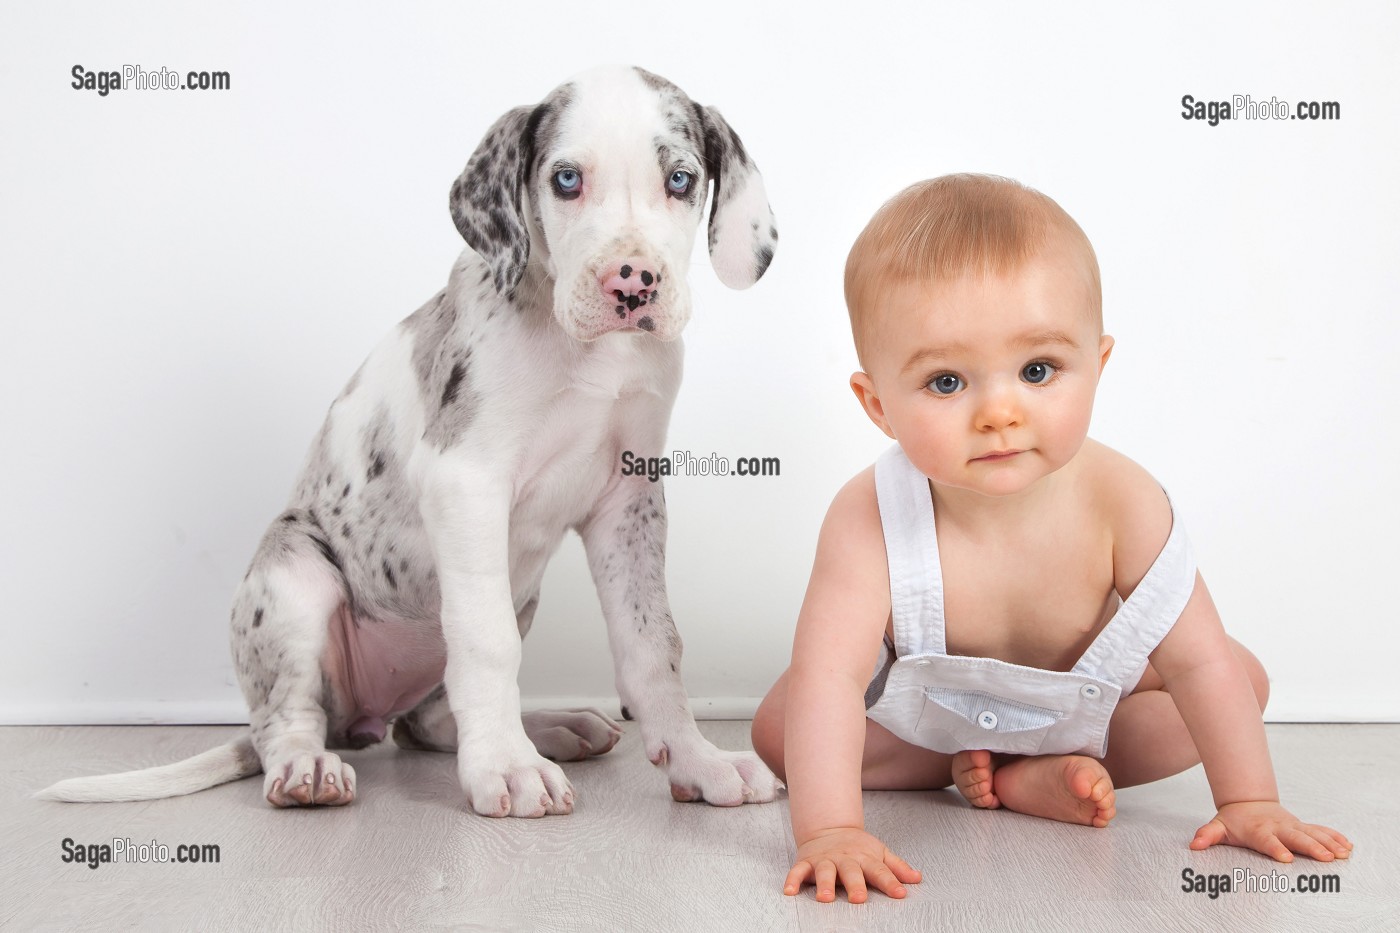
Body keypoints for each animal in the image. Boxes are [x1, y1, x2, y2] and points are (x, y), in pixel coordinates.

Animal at [35, 67, 778, 812]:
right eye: (567, 180)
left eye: (680, 180)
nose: (632, 282)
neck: (592, 354)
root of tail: (361, 716)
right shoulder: (466, 481)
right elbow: (487, 642)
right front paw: (509, 767)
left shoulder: (629, 499)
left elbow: (653, 643)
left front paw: (698, 760)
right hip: (295, 574)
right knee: (289, 719)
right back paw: (309, 768)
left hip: (513, 601)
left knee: (429, 721)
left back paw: (553, 726)